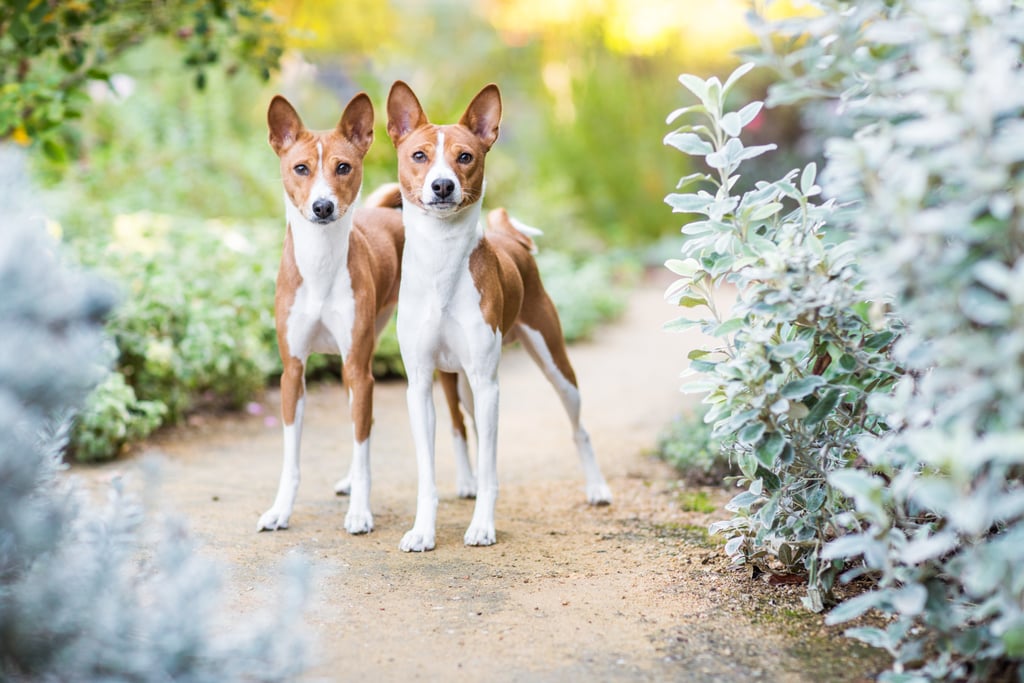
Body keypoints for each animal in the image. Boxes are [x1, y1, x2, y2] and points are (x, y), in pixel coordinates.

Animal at [256, 93, 403, 536]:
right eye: (301, 168)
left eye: (343, 167)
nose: (323, 206)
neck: (320, 265)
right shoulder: (293, 371)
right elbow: (291, 458)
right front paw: (280, 510)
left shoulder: (358, 367)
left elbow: (362, 447)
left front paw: (360, 512)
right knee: (363, 423)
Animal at [382, 80, 606, 552]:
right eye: (419, 155)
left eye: (465, 156)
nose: (442, 185)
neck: (442, 264)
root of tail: (511, 239)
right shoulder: (420, 384)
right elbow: (428, 472)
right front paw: (422, 530)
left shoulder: (489, 384)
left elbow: (491, 466)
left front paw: (482, 526)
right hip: (464, 385)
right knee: (464, 428)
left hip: (554, 365)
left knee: (579, 428)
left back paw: (597, 488)